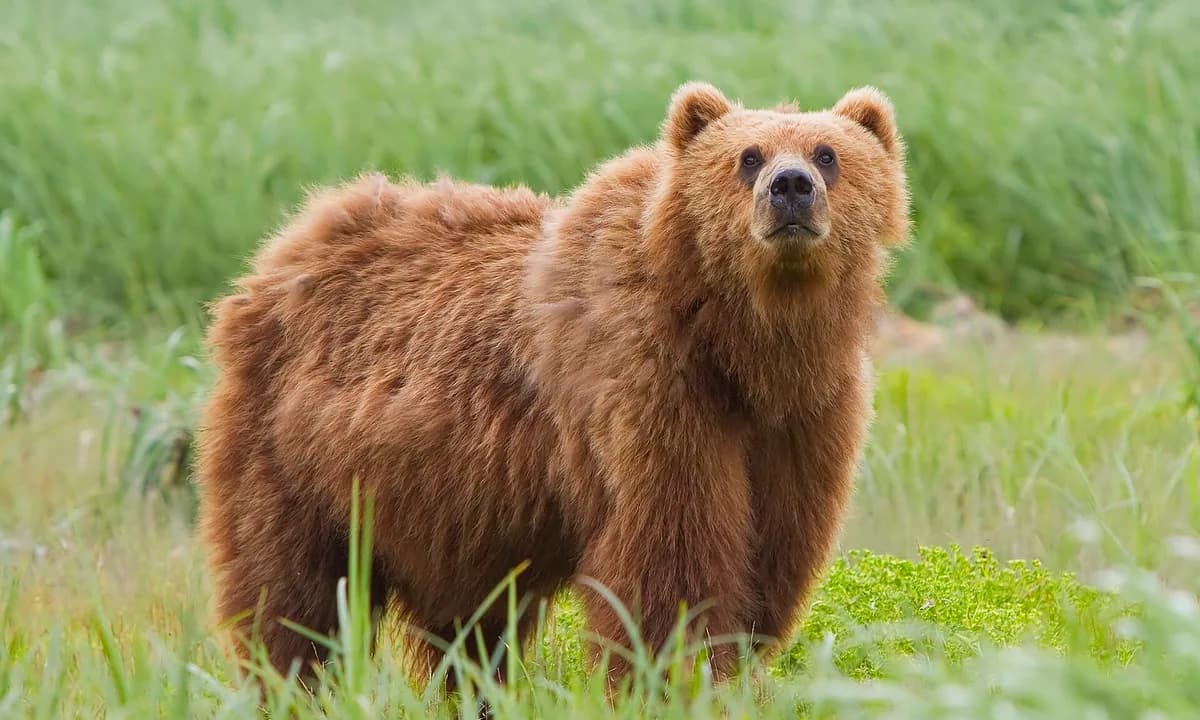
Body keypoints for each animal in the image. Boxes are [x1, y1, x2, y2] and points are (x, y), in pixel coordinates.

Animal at [196, 81, 909, 686]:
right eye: (747, 156)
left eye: (828, 153)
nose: (790, 186)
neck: (743, 345)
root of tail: (286, 244)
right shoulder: (649, 391)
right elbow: (670, 566)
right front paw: (675, 673)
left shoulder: (804, 419)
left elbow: (770, 558)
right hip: (294, 455)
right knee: (292, 595)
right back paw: (290, 681)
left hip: (449, 510)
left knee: (469, 629)